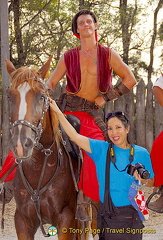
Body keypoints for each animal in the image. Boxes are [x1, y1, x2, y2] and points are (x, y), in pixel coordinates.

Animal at [5, 58, 78, 240]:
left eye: (42, 96)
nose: (21, 144)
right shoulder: (22, 220)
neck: (38, 169)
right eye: (9, 96)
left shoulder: (66, 219)